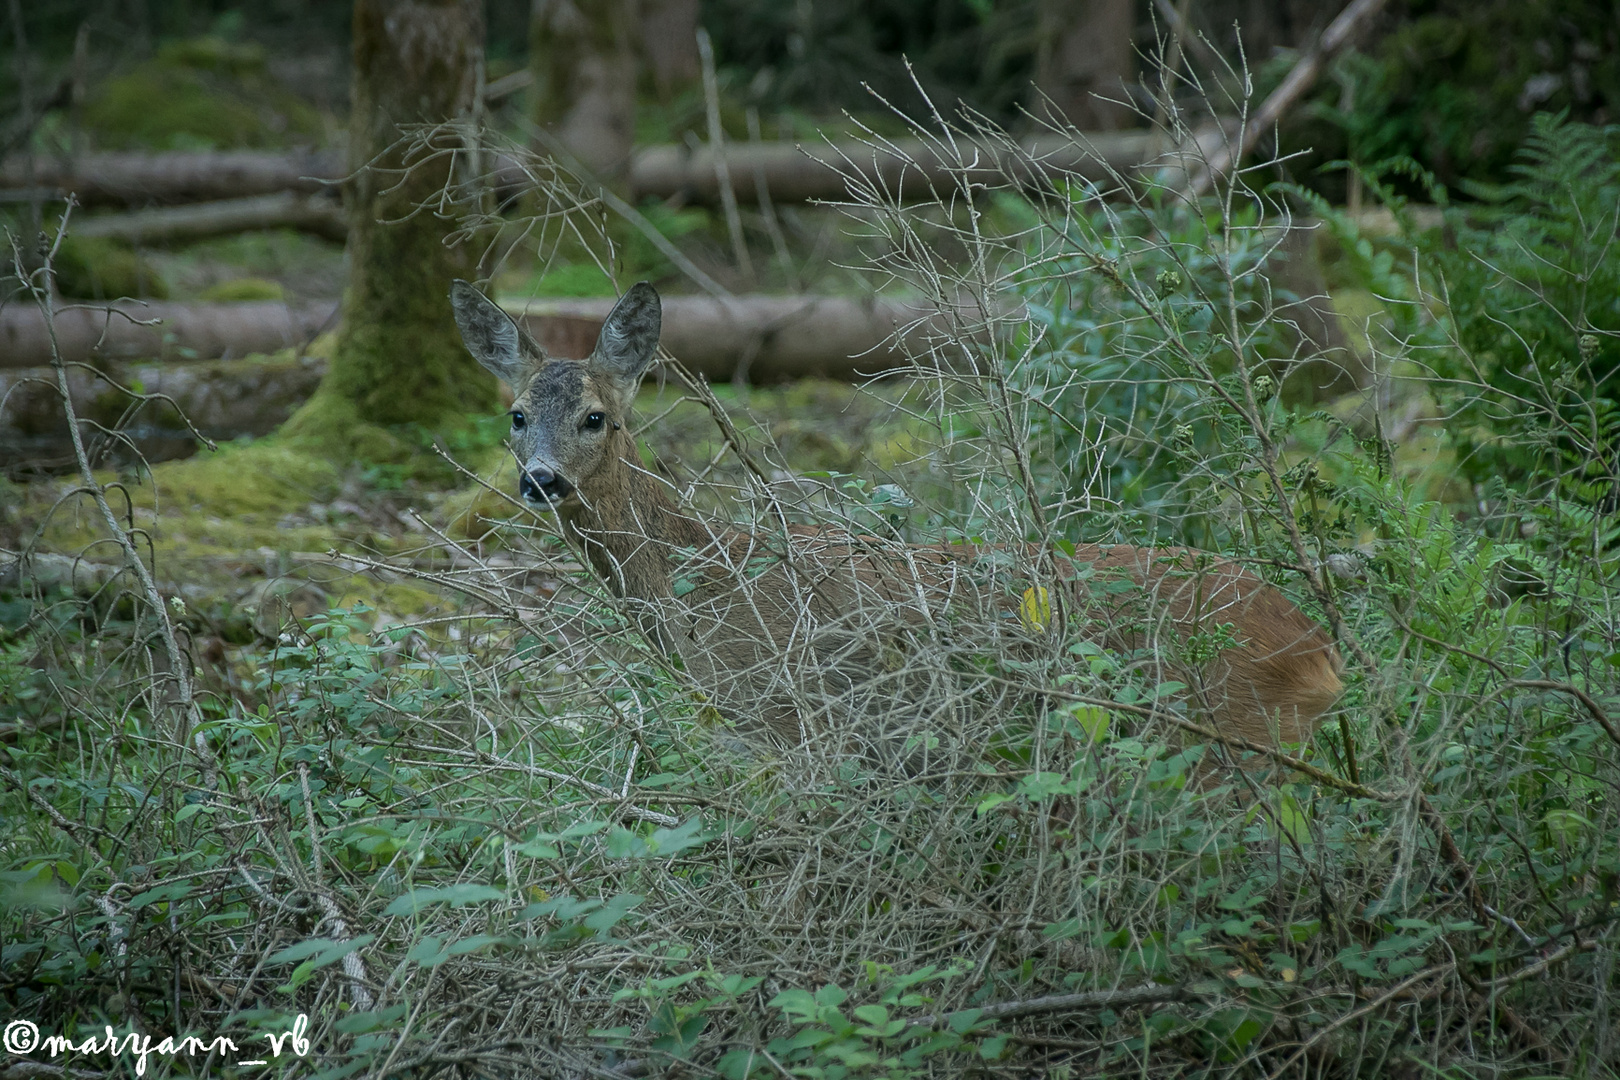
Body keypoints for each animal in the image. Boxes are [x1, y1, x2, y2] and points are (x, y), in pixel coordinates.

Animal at [453, 278, 1341, 764]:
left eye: (596, 416)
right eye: (516, 414)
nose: (540, 481)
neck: (709, 581)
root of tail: (1318, 651)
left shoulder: (796, 722)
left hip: (1238, 733)